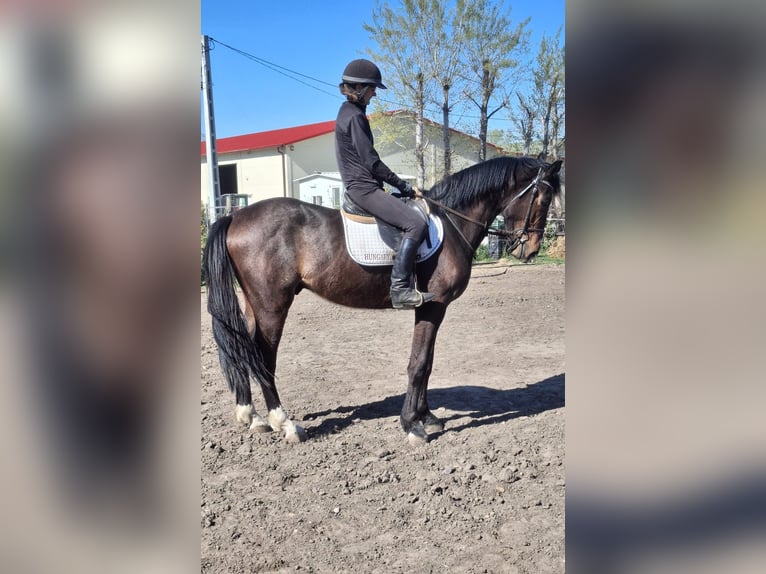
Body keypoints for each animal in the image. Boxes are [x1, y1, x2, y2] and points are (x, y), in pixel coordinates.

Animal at [203, 156, 562, 445]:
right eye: (543, 197)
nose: (530, 251)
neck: (452, 222)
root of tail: (234, 217)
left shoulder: (431, 308)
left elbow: (427, 362)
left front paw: (426, 417)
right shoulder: (433, 305)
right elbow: (419, 363)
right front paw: (412, 425)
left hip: (254, 304)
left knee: (243, 349)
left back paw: (252, 417)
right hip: (272, 305)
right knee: (263, 356)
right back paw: (285, 423)